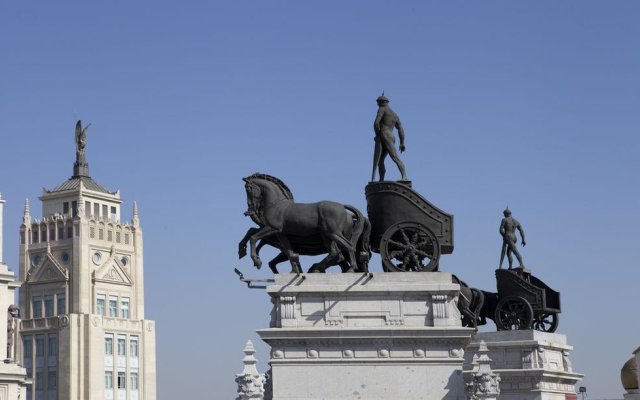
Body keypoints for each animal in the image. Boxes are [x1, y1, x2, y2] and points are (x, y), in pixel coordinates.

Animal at [239, 173, 370, 274]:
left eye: (248, 188)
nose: (250, 209)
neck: (276, 205)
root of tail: (343, 207)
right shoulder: (280, 233)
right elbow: (288, 251)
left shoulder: (272, 228)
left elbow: (253, 237)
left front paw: (257, 261)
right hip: (327, 236)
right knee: (336, 253)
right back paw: (316, 269)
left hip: (333, 233)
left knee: (348, 247)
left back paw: (349, 269)